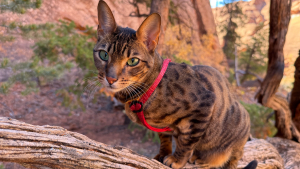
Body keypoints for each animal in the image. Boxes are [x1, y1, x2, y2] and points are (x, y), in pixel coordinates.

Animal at [94, 0, 258, 168]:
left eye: (133, 61)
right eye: (104, 55)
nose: (110, 78)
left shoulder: (205, 104)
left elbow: (187, 142)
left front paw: (178, 159)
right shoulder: (161, 127)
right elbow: (164, 138)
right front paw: (163, 153)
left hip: (238, 131)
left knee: (233, 157)